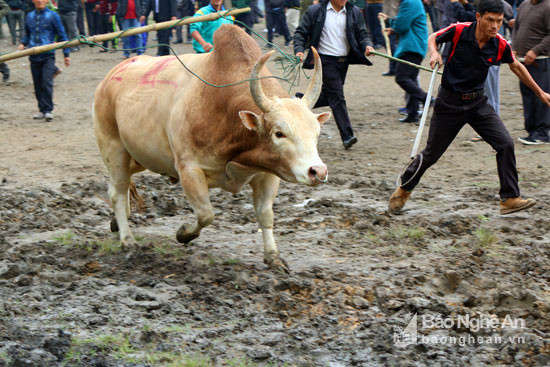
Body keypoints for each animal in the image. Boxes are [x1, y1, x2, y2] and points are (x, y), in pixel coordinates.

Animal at [92, 25, 330, 274]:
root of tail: (109, 79)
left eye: (316, 132)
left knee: (123, 187)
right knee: (117, 192)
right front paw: (183, 234)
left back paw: (116, 223)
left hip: (136, 157)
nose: (318, 171)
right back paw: (127, 239)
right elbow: (206, 215)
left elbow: (265, 215)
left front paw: (273, 257)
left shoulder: (267, 174)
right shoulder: (189, 169)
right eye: (279, 133)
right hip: (114, 150)